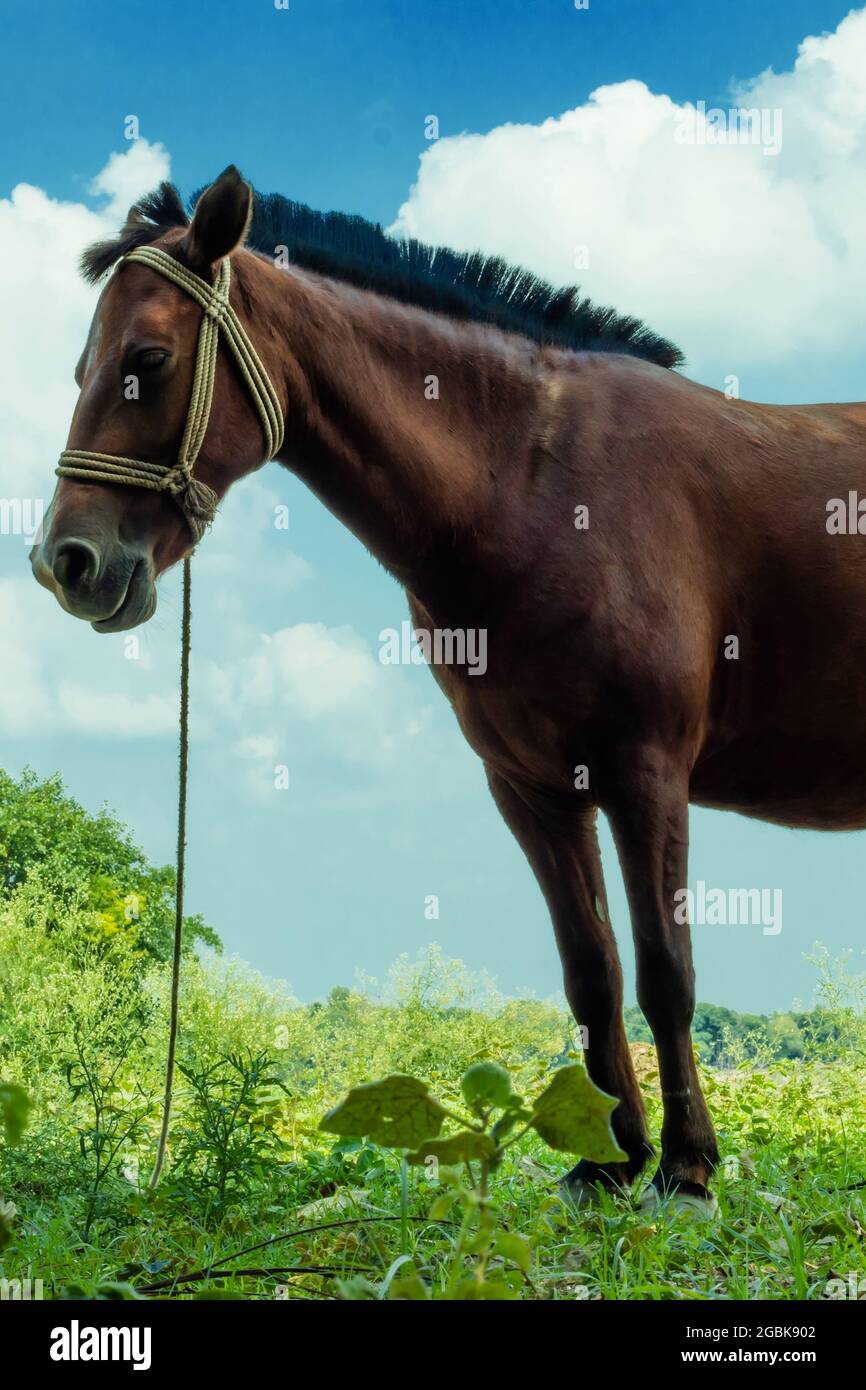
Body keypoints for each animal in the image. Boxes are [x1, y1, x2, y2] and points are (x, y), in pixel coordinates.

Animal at [30, 159, 866, 1206]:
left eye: (146, 358)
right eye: (81, 367)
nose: (64, 562)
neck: (542, 485)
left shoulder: (646, 773)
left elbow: (665, 969)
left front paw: (686, 1169)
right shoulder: (534, 788)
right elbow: (591, 973)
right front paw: (608, 1160)